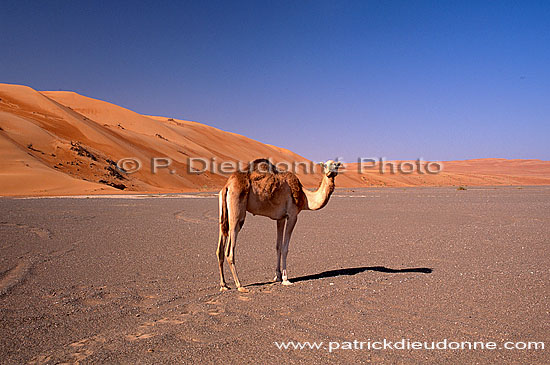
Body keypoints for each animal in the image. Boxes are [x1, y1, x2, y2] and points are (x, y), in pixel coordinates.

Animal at [218, 158, 342, 292]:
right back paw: (240, 285)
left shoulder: (280, 218)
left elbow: (278, 246)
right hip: (237, 214)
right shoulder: (292, 215)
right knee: (229, 252)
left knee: (220, 249)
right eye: (325, 165)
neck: (304, 197)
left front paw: (277, 276)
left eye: (336, 165)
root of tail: (227, 186)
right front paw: (286, 279)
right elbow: (285, 248)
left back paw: (224, 285)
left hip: (223, 215)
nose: (331, 171)